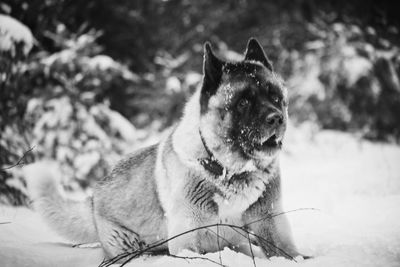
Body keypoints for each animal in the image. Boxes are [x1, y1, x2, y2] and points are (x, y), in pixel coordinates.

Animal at [28, 38, 302, 262]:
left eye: (275, 97)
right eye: (243, 102)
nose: (276, 119)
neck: (229, 170)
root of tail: (94, 196)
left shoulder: (270, 219)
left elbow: (289, 253)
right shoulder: (188, 237)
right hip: (130, 245)